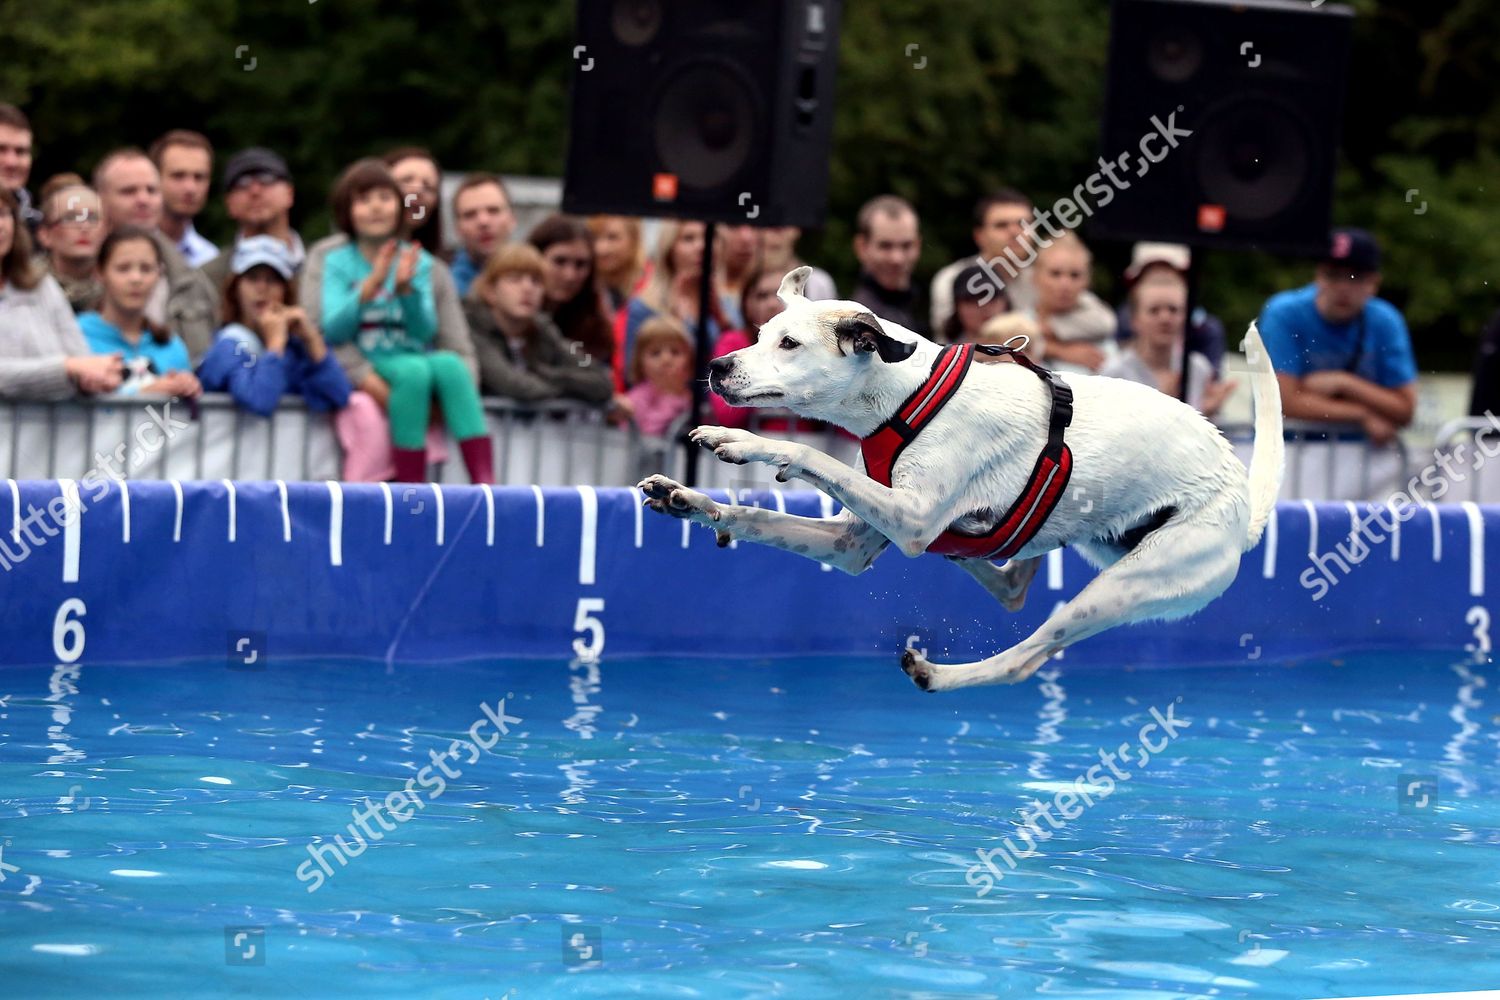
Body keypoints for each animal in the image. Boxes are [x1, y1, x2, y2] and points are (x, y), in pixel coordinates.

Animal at [639, 265, 1284, 692]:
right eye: (756, 333)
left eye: (789, 343)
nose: (716, 367)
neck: (906, 394)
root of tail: (1243, 499)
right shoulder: (852, 544)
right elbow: (760, 516)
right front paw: (690, 500)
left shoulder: (912, 518)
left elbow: (803, 450)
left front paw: (741, 442)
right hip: (1101, 546)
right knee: (1011, 586)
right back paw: (994, 556)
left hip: (1126, 584)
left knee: (1025, 656)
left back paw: (939, 674)